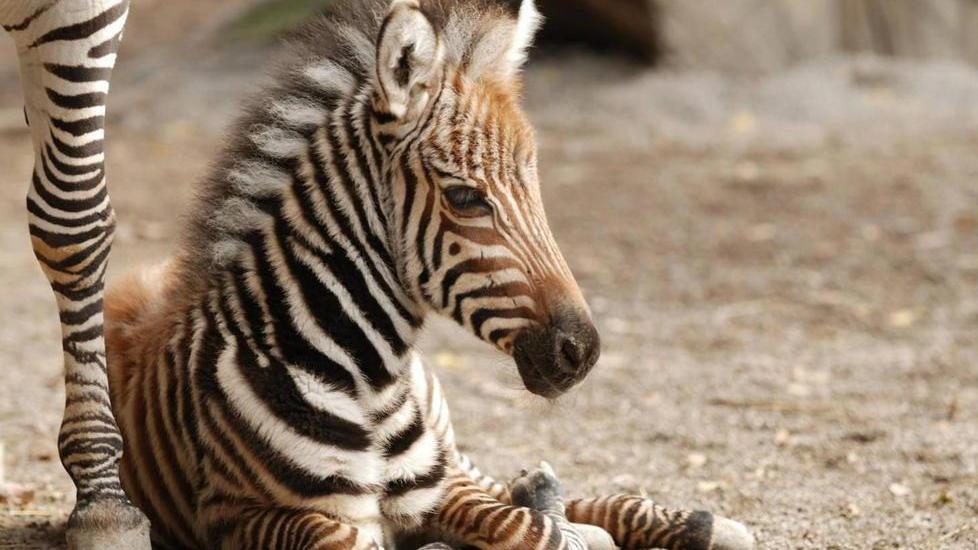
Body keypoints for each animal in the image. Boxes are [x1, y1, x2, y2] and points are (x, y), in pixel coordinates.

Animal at [101, 0, 756, 548]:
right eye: (465, 198)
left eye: (536, 187)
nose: (583, 351)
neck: (368, 380)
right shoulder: (244, 514)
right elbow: (372, 537)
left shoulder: (437, 485)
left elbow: (516, 523)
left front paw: (559, 521)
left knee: (513, 487)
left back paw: (694, 522)